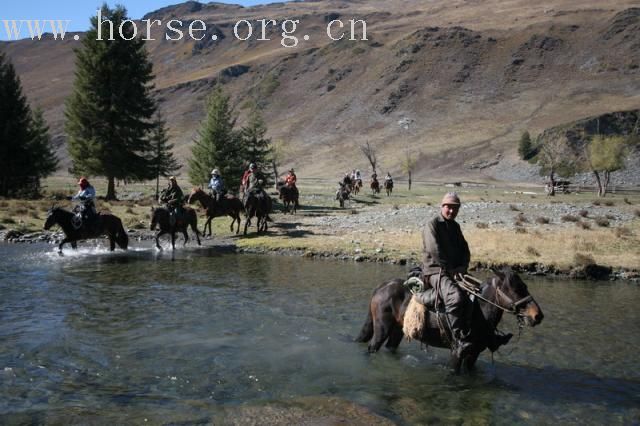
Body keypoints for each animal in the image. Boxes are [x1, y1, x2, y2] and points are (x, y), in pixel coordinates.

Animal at [358, 268, 544, 374]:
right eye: (516, 289)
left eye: (524, 286)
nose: (538, 316)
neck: (478, 312)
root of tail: (383, 286)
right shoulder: (458, 351)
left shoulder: (474, 354)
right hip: (382, 329)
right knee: (372, 347)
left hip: (398, 331)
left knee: (391, 347)